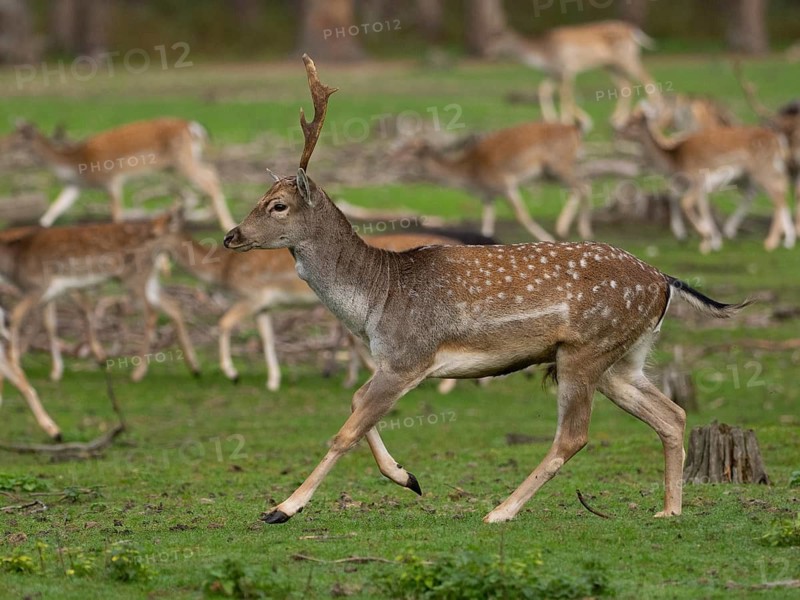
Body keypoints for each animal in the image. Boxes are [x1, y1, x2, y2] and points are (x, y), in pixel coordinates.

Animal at [0, 211, 200, 384]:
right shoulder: (49, 293)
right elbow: (50, 324)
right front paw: (55, 372)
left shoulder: (38, 288)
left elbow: (16, 316)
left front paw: (15, 360)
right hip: (148, 279)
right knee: (173, 305)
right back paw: (194, 368)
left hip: (134, 278)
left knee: (151, 313)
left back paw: (137, 374)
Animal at [5, 118, 236, 230]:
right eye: (11, 135)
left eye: (18, 138)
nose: (2, 144)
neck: (77, 163)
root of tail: (194, 127)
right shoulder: (75, 186)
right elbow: (57, 206)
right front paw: (38, 227)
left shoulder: (112, 179)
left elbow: (116, 212)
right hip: (174, 166)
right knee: (210, 174)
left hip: (182, 161)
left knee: (209, 179)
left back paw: (226, 223)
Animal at [399, 121, 592, 242]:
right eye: (403, 147)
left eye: (410, 150)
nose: (392, 158)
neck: (471, 175)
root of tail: (574, 129)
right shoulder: (488, 194)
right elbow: (487, 224)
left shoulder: (505, 184)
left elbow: (521, 215)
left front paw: (547, 238)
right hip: (553, 170)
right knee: (580, 187)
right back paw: (563, 228)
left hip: (558, 165)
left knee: (583, 187)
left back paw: (581, 231)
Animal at [486, 21, 660, 128]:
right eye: (491, 36)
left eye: (498, 38)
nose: (488, 52)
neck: (543, 55)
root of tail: (634, 31)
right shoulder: (554, 73)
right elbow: (544, 90)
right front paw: (554, 119)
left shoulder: (566, 69)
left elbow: (565, 95)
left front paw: (567, 121)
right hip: (611, 65)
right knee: (626, 85)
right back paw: (616, 120)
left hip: (626, 57)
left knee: (647, 79)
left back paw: (654, 115)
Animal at [619, 101, 794, 253]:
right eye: (629, 117)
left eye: (633, 122)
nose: (617, 128)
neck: (674, 162)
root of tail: (778, 140)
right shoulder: (690, 183)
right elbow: (682, 199)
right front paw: (699, 238)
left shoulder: (698, 178)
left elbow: (687, 203)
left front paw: (706, 237)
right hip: (747, 176)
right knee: (759, 193)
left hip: (764, 168)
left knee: (777, 194)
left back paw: (771, 241)